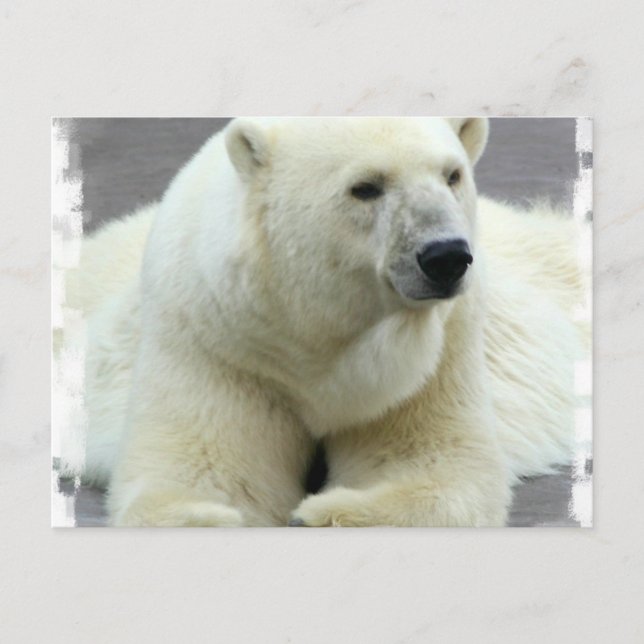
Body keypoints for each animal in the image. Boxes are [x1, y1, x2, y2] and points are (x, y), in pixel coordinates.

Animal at [63, 117, 586, 527]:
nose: (446, 257)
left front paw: (322, 512)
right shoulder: (217, 340)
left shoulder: (437, 350)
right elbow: (205, 470)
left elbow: (431, 463)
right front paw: (213, 516)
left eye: (452, 175)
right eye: (366, 187)